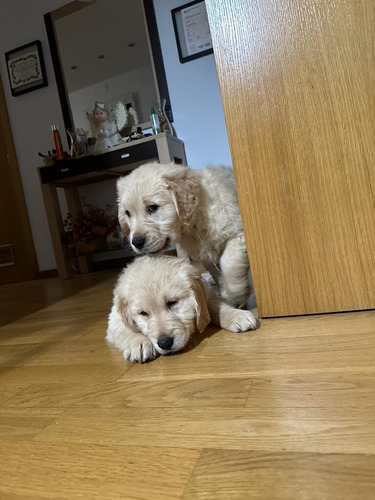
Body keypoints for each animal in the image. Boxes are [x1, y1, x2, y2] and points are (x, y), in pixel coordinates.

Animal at [105, 256, 258, 362]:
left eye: (172, 303)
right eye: (143, 313)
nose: (165, 343)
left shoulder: (207, 294)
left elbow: (216, 306)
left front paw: (237, 315)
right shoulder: (114, 317)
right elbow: (124, 329)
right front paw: (139, 343)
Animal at [117, 161, 262, 332]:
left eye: (152, 207)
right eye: (127, 213)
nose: (136, 242)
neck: (193, 223)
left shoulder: (238, 234)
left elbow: (228, 263)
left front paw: (236, 292)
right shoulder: (206, 255)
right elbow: (217, 272)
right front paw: (226, 294)